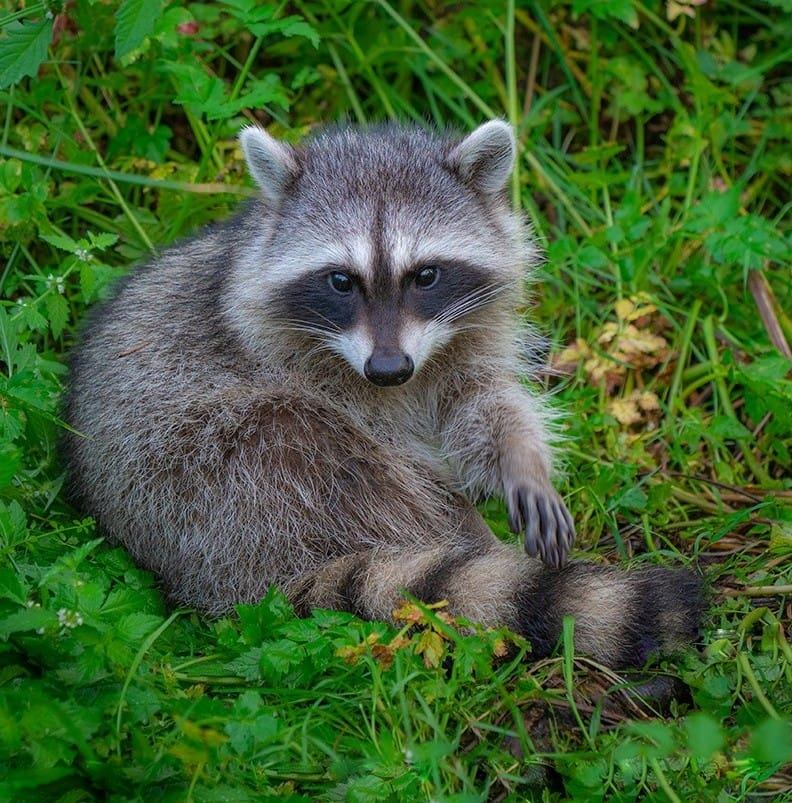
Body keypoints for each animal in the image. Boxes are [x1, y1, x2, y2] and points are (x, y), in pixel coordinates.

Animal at [64, 121, 703, 668]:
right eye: (340, 281)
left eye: (426, 275)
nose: (389, 369)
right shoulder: (292, 365)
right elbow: (397, 458)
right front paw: (465, 521)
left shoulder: (464, 338)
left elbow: (482, 404)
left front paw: (522, 463)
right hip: (201, 478)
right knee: (311, 446)